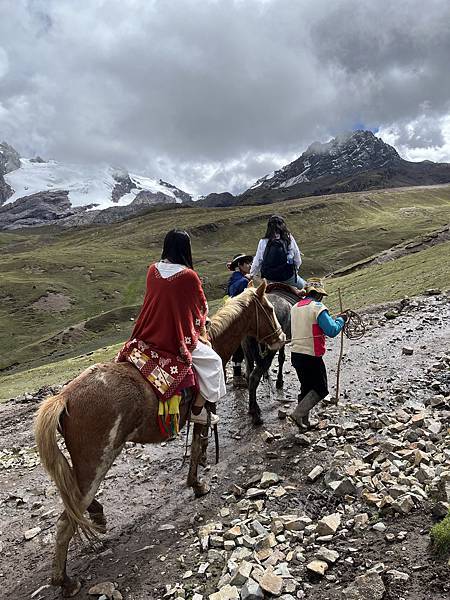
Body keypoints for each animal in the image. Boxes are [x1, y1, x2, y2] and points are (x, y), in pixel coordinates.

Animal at [34, 282, 284, 596]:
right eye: (270, 309)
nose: (281, 339)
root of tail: (64, 397)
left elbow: (199, 447)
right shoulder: (204, 410)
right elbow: (198, 445)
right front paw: (198, 485)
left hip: (81, 466)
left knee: (70, 497)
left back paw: (97, 516)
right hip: (96, 463)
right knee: (66, 521)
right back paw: (65, 581)